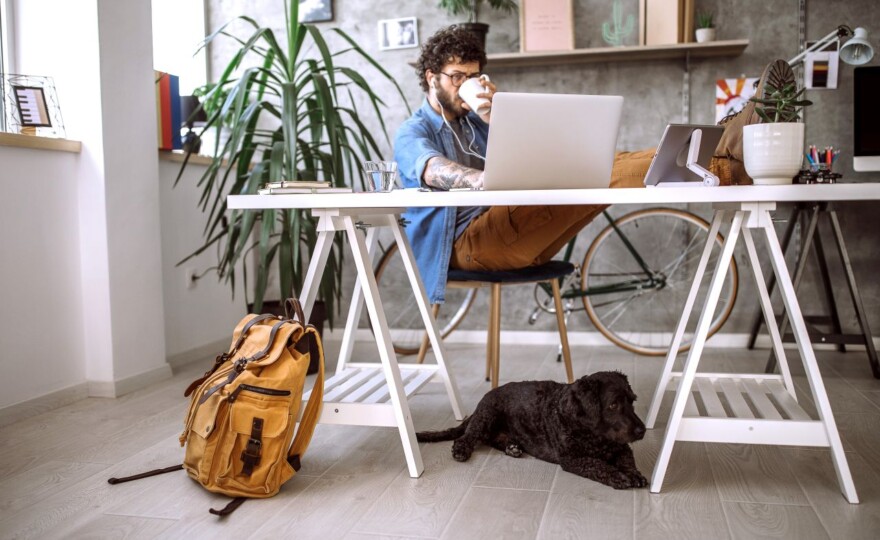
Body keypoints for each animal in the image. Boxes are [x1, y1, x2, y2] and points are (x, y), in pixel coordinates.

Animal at [416, 372, 648, 490]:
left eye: (632, 400)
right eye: (613, 405)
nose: (642, 430)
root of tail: (478, 407)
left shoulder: (622, 448)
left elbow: (627, 461)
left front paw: (634, 474)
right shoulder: (572, 458)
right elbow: (599, 465)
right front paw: (618, 476)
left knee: (493, 439)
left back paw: (512, 448)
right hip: (486, 416)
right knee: (467, 437)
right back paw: (461, 451)